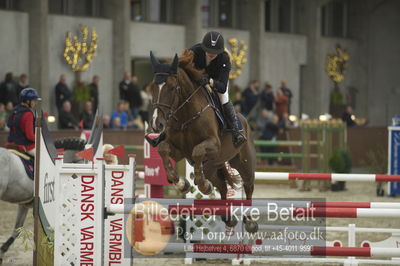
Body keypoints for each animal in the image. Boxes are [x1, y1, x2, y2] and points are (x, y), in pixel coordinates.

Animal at [148, 50, 258, 233]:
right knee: (222, 185)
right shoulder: (178, 151)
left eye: (172, 87)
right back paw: (227, 217)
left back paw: (249, 221)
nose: (157, 124)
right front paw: (181, 184)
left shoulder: (213, 145)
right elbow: (163, 149)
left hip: (243, 163)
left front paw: (200, 184)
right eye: (152, 87)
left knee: (248, 186)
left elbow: (198, 151)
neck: (186, 115)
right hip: (215, 168)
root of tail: (244, 121)